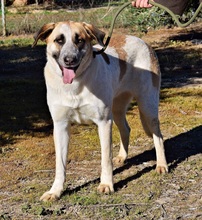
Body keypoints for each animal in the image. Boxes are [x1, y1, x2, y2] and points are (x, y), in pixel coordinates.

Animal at [32, 20, 167, 201]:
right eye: (59, 40)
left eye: (79, 40)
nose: (69, 60)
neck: (75, 85)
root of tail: (143, 41)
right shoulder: (60, 126)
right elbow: (60, 164)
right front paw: (55, 191)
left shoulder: (104, 123)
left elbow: (105, 159)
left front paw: (106, 184)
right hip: (117, 109)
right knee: (126, 129)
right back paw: (122, 157)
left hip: (147, 107)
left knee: (158, 135)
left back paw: (161, 165)